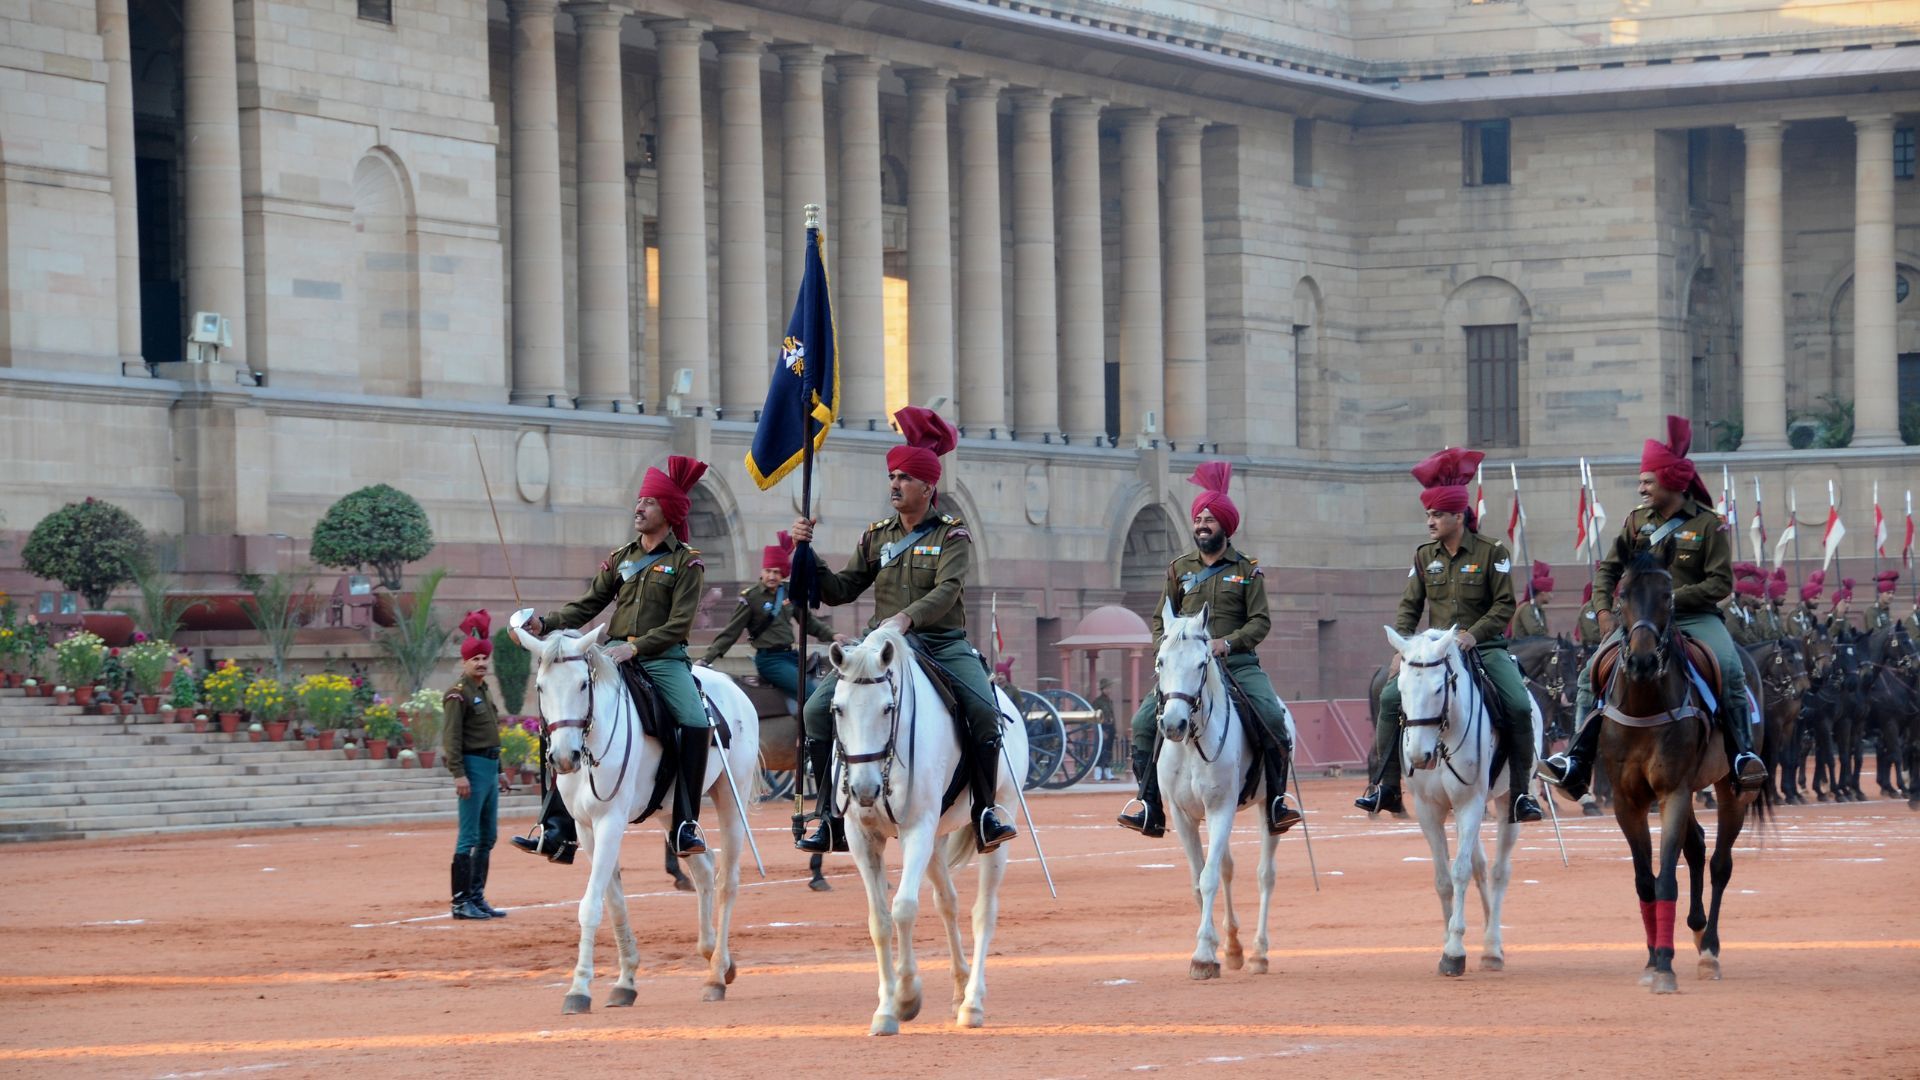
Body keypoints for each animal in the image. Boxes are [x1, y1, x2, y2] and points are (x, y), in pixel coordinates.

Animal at [518, 622, 771, 1006]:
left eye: (582, 684)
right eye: (540, 687)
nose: (563, 757)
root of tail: (732, 686)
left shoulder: (610, 822)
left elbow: (591, 906)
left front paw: (579, 989)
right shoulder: (587, 828)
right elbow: (613, 902)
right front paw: (625, 980)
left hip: (731, 795)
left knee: (727, 881)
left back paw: (715, 975)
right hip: (672, 812)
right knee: (703, 867)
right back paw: (716, 956)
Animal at [829, 626, 1029, 1030]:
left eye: (887, 708)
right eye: (838, 708)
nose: (864, 790)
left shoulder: (917, 829)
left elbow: (904, 907)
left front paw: (906, 996)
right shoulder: (862, 838)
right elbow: (879, 921)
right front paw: (886, 1008)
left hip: (996, 825)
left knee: (984, 911)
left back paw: (972, 1003)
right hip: (937, 840)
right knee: (947, 903)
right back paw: (959, 988)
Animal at [1152, 599, 1290, 980]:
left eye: (1201, 663)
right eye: (1160, 661)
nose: (1173, 724)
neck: (1191, 744)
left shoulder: (1220, 809)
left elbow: (1209, 877)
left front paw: (1202, 955)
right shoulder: (1183, 816)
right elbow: (1199, 880)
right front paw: (1214, 947)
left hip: (1264, 809)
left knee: (1265, 875)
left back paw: (1259, 953)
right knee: (1228, 867)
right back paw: (1233, 947)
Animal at [1390, 618, 1536, 972]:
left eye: (1438, 688)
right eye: (1400, 688)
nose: (1418, 756)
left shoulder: (1469, 803)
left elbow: (1460, 872)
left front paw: (1454, 950)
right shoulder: (1429, 810)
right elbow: (1443, 878)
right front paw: (1447, 941)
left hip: (1506, 802)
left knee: (1498, 871)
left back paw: (1493, 946)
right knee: (1481, 866)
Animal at [1589, 553, 1766, 991]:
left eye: (1668, 596)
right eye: (1622, 593)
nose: (1641, 661)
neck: (1644, 702)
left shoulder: (1674, 792)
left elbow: (1666, 877)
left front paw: (1665, 965)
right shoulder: (1627, 801)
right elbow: (1645, 881)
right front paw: (1652, 958)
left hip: (1731, 790)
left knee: (1720, 862)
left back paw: (1710, 949)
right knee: (1698, 845)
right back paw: (1697, 927)